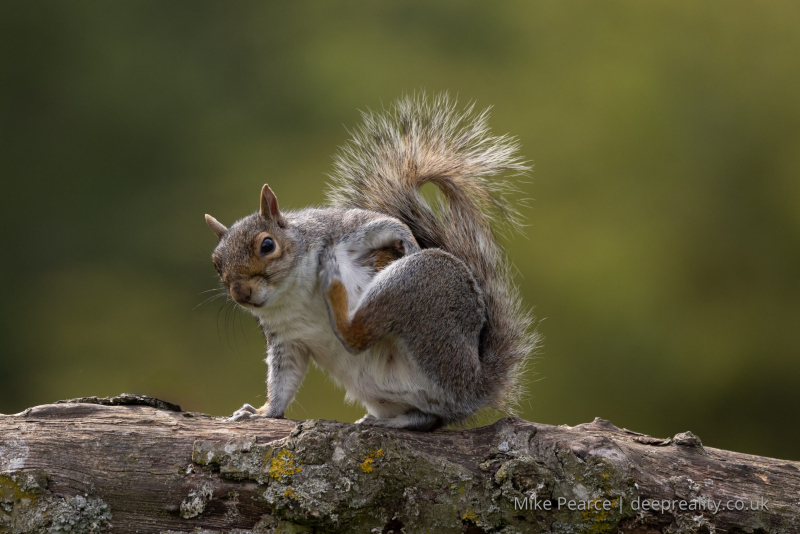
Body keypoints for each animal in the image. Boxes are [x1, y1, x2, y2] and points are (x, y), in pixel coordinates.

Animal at [204, 94, 538, 431]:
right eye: (216, 263)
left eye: (267, 245)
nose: (241, 294)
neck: (289, 294)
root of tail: (475, 387)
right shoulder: (286, 341)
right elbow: (283, 381)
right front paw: (262, 412)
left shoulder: (340, 229)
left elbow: (382, 223)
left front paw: (408, 239)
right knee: (427, 416)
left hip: (418, 287)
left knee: (357, 335)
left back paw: (334, 283)